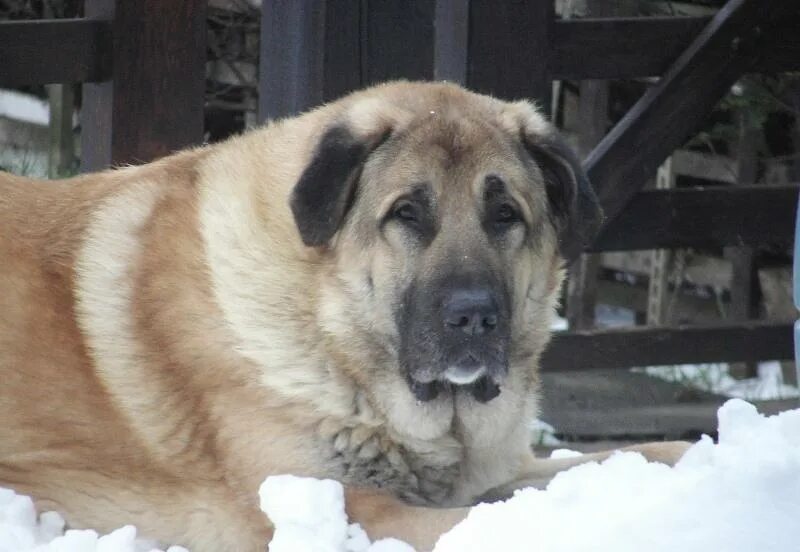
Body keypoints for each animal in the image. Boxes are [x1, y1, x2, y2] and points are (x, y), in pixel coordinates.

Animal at [0, 83, 688, 552]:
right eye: (407, 213)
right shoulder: (362, 511)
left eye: (505, 214)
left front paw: (681, 458)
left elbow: (617, 459)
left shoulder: (495, 471)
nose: (474, 318)